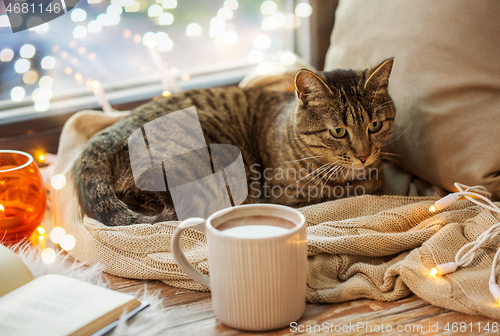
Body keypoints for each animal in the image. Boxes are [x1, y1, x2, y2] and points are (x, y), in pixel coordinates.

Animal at [74, 57, 394, 227]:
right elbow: (343, 195)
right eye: (338, 131)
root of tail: (107, 134)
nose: (364, 155)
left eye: (375, 125)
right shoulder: (287, 196)